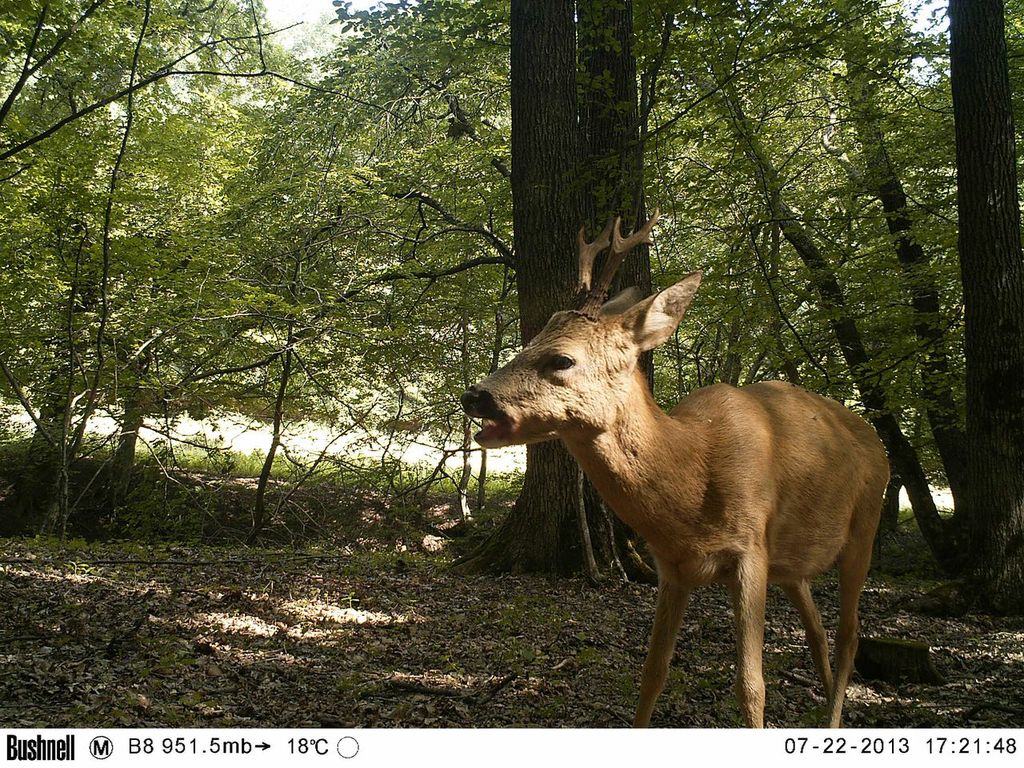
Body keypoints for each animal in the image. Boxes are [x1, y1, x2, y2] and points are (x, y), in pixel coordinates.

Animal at [462, 210, 888, 729]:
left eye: (562, 359)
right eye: (527, 342)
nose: (474, 395)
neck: (692, 483)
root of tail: (874, 438)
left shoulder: (750, 550)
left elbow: (751, 686)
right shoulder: (673, 567)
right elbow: (652, 673)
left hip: (864, 526)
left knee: (849, 636)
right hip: (792, 564)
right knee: (818, 632)